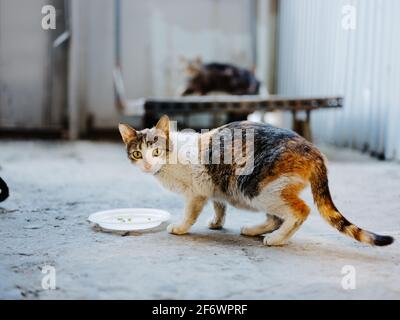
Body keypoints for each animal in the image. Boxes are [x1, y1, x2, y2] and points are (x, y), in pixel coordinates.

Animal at [119, 116, 394, 246]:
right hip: (259, 191)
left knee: (300, 211)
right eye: (137, 154)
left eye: (155, 152)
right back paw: (254, 230)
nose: (147, 164)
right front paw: (216, 223)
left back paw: (277, 239)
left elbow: (190, 213)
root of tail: (313, 150)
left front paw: (180, 227)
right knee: (276, 217)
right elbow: (219, 206)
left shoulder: (195, 193)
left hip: (258, 188)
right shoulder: (214, 186)